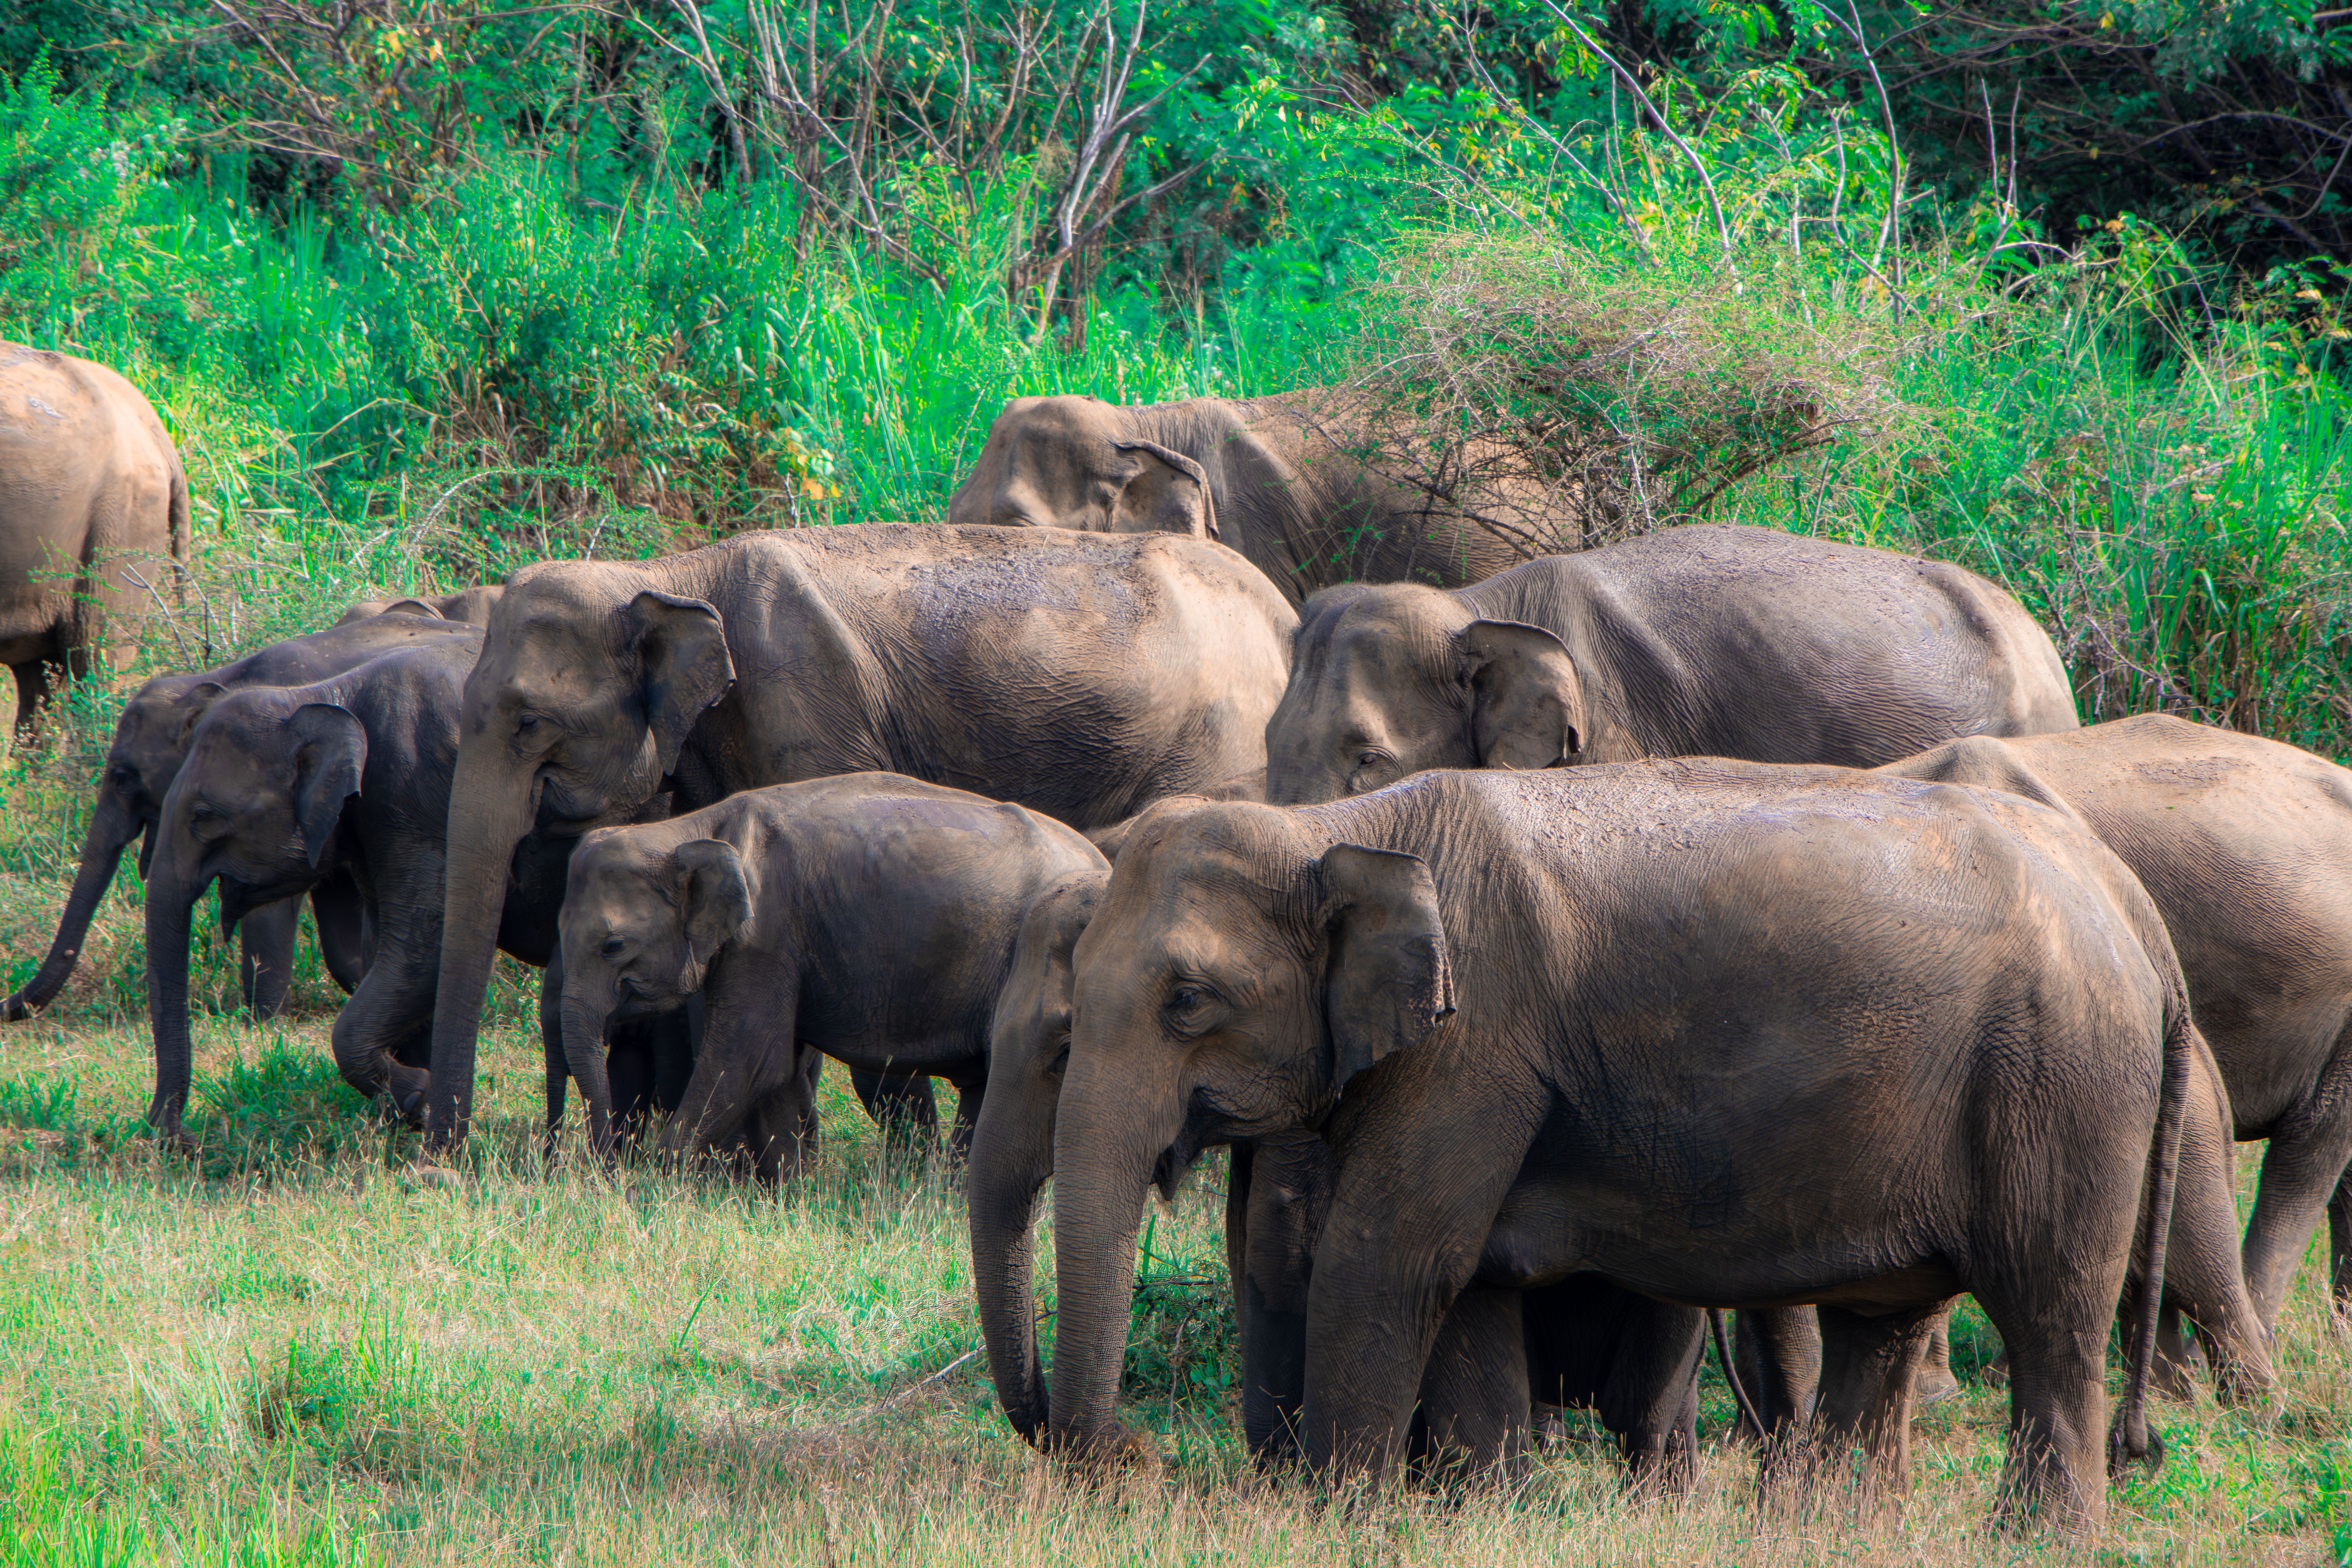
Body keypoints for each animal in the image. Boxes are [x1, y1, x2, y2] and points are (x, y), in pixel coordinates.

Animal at [139, 634, 689, 1146]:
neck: (322, 694)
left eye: (204, 816)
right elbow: (390, 950)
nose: (179, 1139)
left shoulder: (414, 796)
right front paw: (412, 1108)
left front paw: (418, 1097)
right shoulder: (373, 822)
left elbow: (424, 951)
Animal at [556, 773, 1107, 1182]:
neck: (687, 830)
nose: (603, 1171)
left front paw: (652, 1183)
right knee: (981, 1088)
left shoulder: (766, 934)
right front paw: (789, 1193)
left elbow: (748, 1057)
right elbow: (779, 1067)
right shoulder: (779, 948)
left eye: (612, 946)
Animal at [1044, 760, 2247, 1532]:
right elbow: (1467, 1277)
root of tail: (2130, 901)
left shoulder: (1473, 1045)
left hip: (2060, 1075)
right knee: (1885, 1319)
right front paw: (1492, 1520)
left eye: (1188, 1001)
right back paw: (1835, 1531)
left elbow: (1389, 1255)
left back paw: (2033, 1537)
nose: (1129, 1462)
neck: (1331, 825)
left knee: (2049, 1305)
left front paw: (1339, 1522)